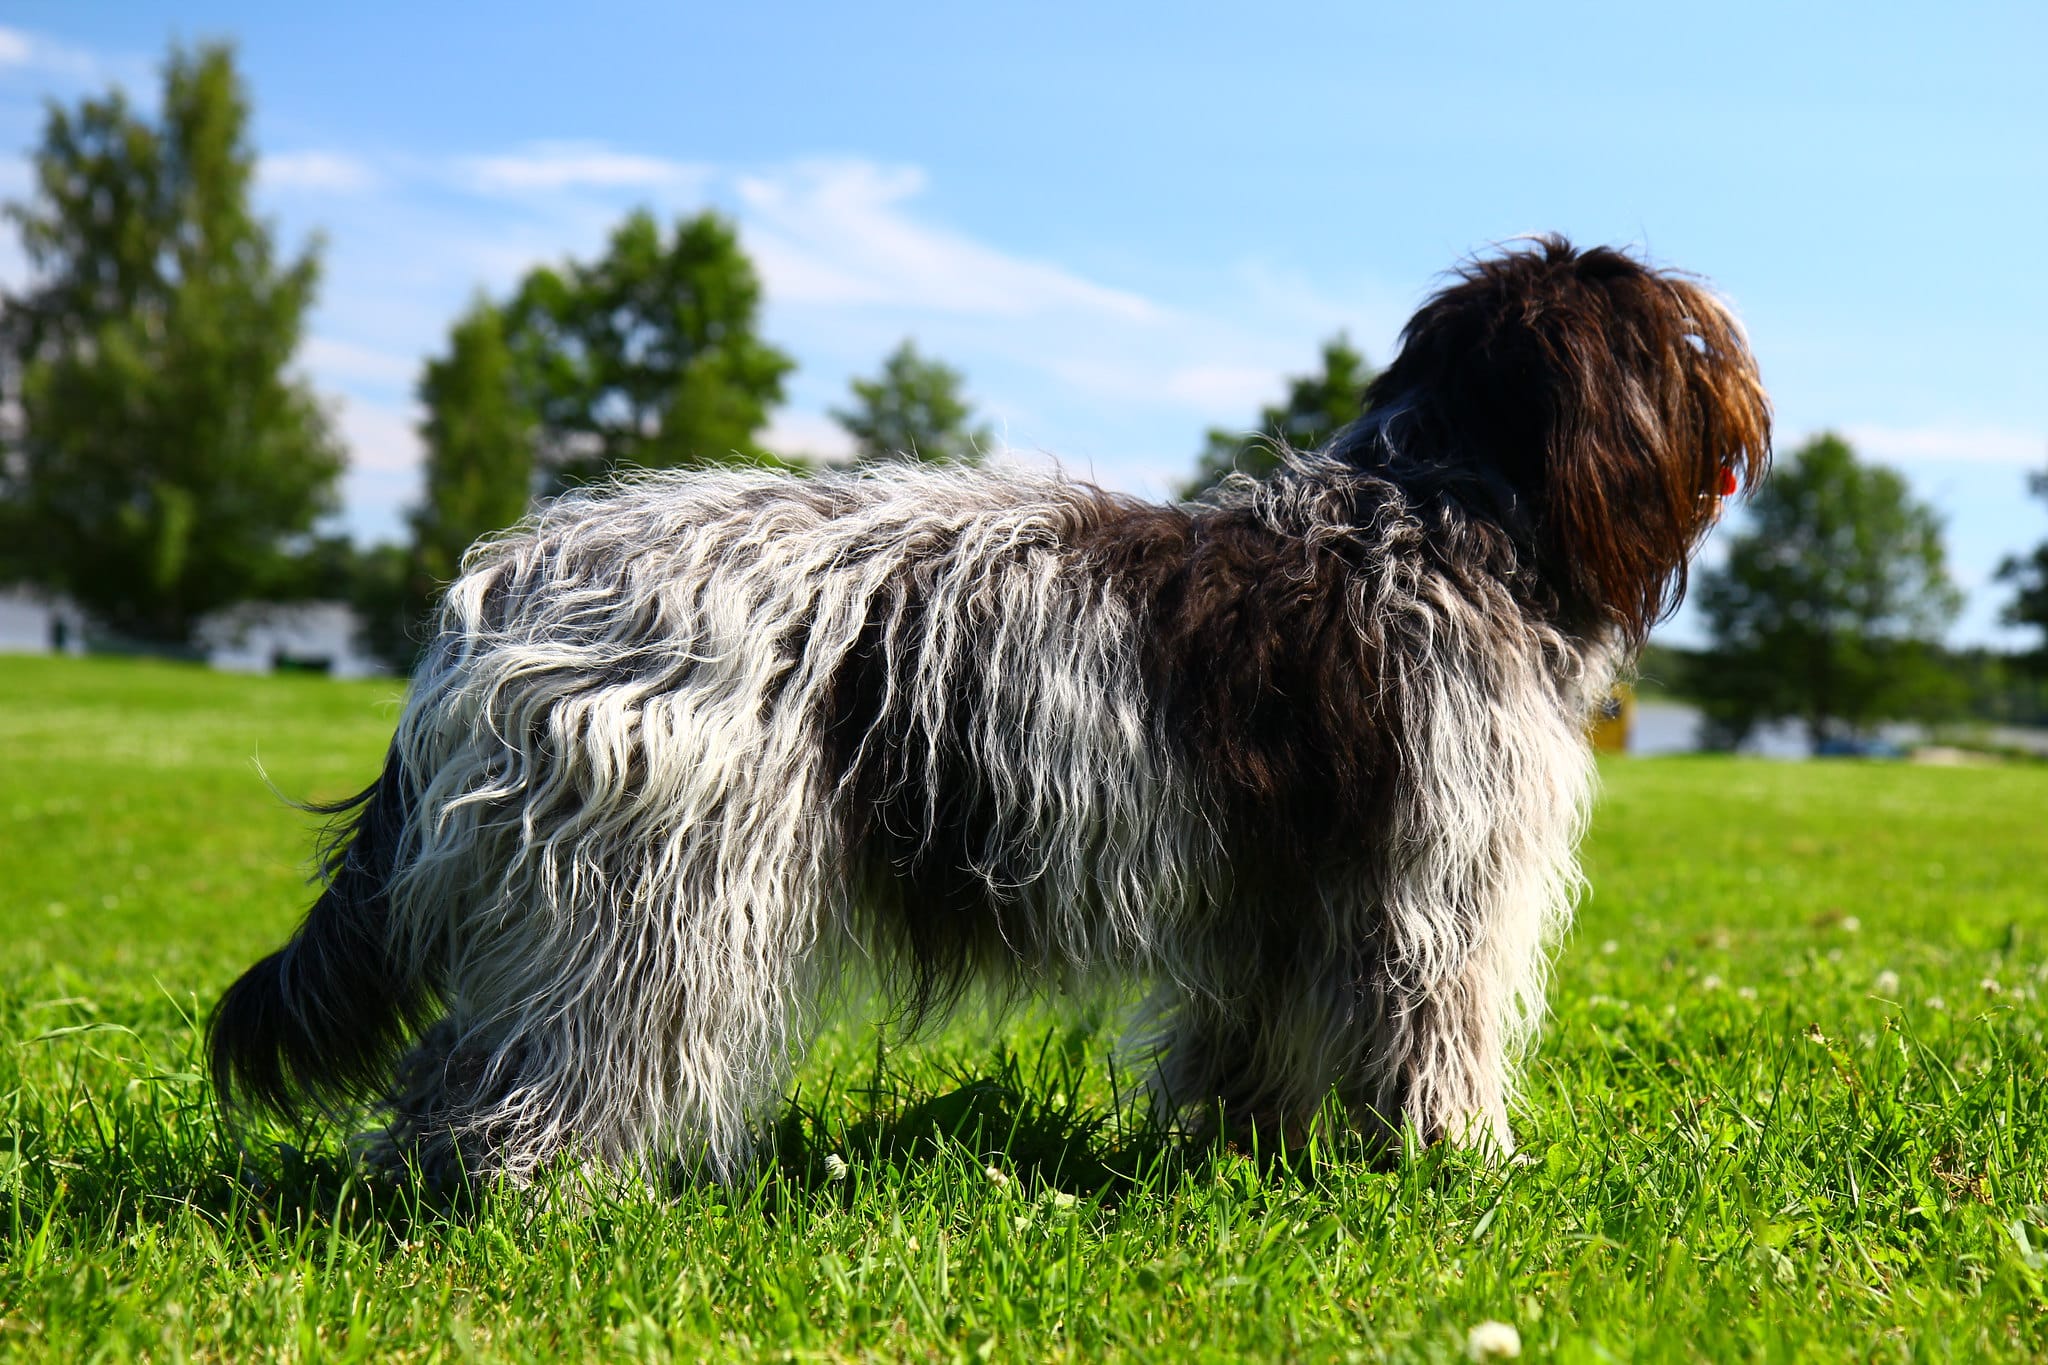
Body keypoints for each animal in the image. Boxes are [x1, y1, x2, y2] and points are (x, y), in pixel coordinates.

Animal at [211, 235, 1777, 1186]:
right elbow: (1432, 1035)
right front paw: (1458, 1171)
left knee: (458, 1060)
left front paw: (1242, 1162)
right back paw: (535, 1199)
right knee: (550, 1066)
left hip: (577, 888)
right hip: (654, 895)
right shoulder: (1433, 884)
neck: (1434, 515)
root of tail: (510, 582)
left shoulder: (1279, 902)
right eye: (1686, 344)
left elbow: (1250, 1044)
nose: (1750, 392)